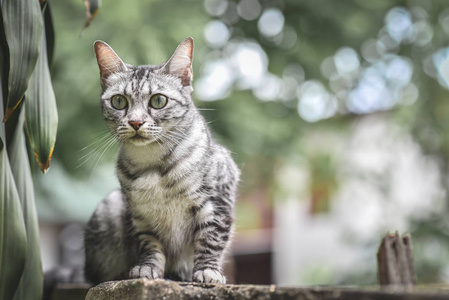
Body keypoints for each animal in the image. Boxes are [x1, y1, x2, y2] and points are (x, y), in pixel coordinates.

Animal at [83, 37, 238, 284]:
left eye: (158, 100)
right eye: (118, 101)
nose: (136, 122)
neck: (153, 165)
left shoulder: (217, 200)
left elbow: (211, 239)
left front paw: (208, 271)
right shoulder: (140, 216)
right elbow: (149, 245)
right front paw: (147, 268)